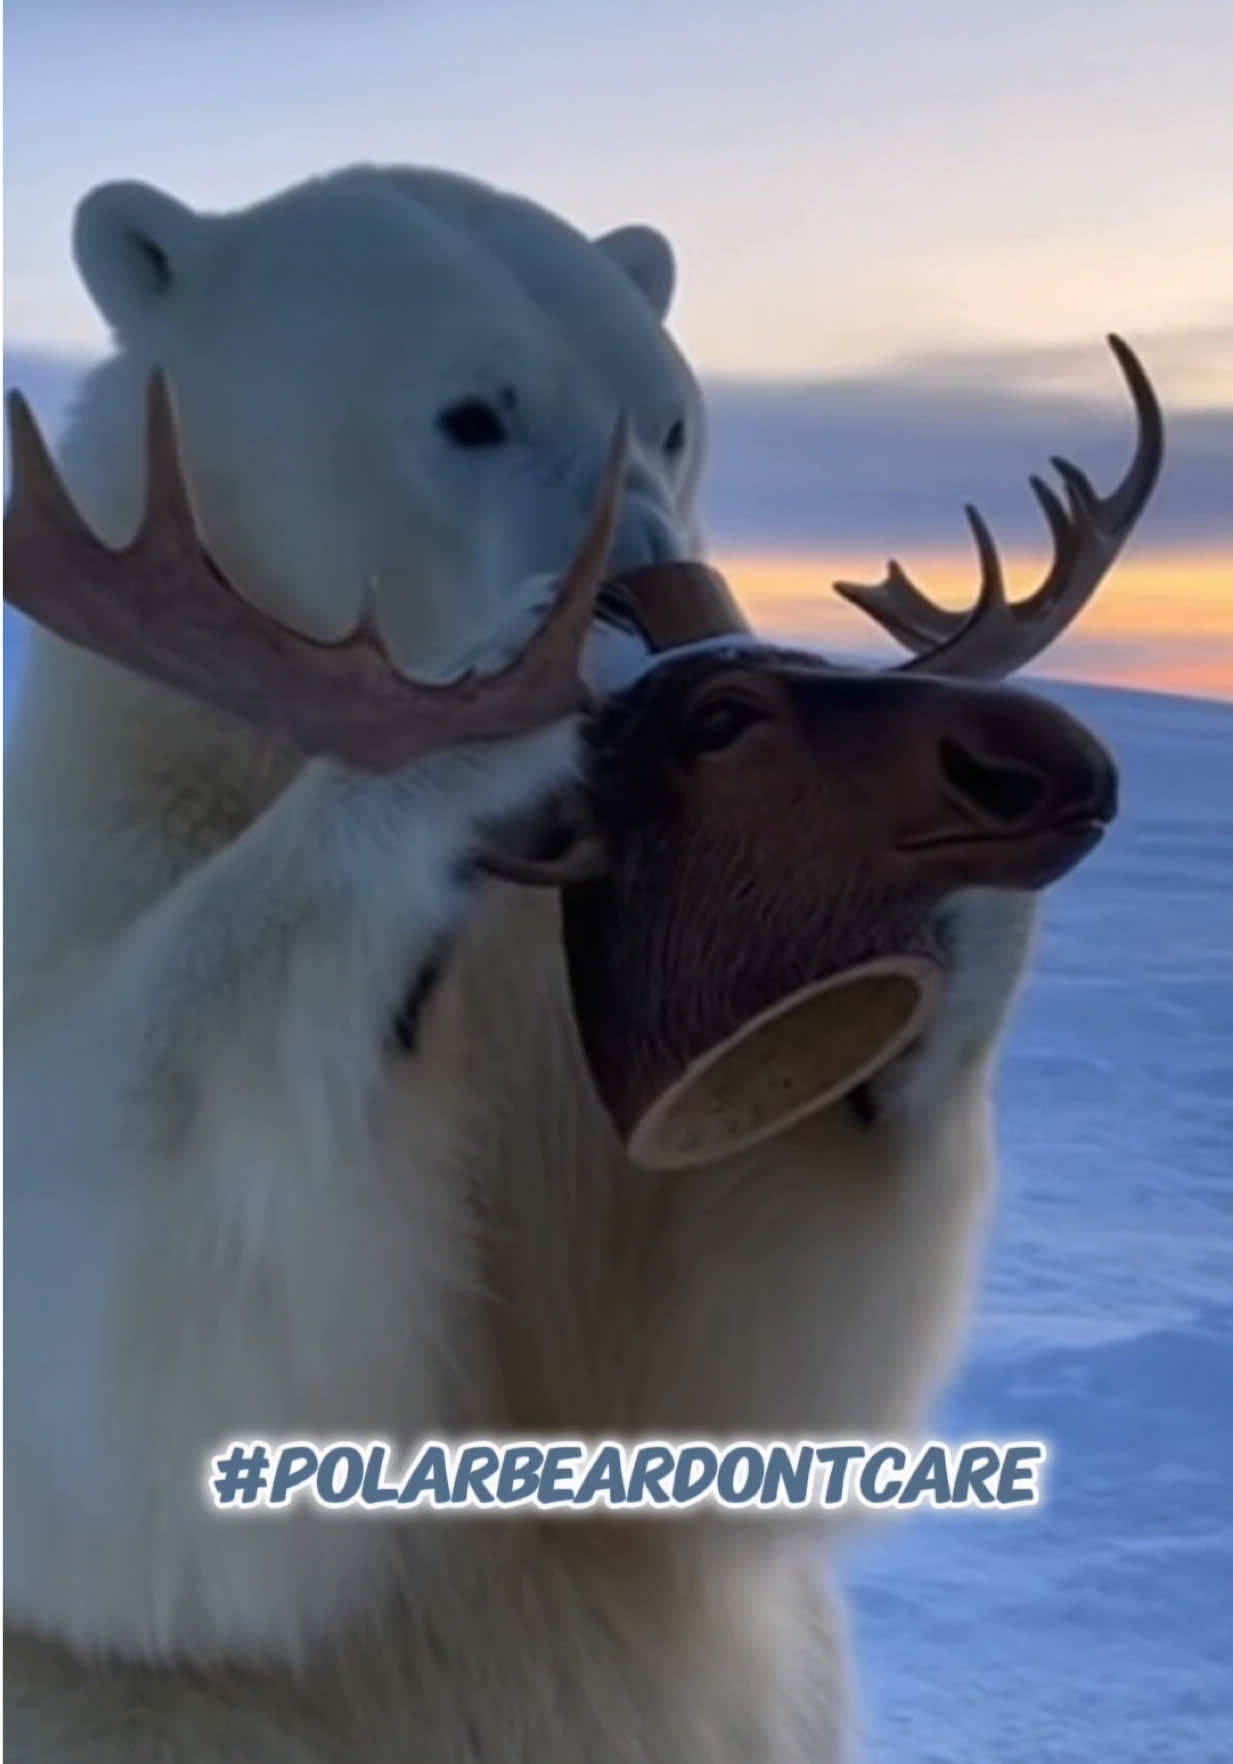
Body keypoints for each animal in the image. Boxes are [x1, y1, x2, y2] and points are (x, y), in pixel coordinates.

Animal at [3, 164, 1036, 1762]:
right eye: (471, 415)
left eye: (669, 415)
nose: (670, 612)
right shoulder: (100, 854)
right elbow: (109, 1380)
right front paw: (479, 729)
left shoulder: (587, 1029)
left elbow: (708, 1368)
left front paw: (937, 898)